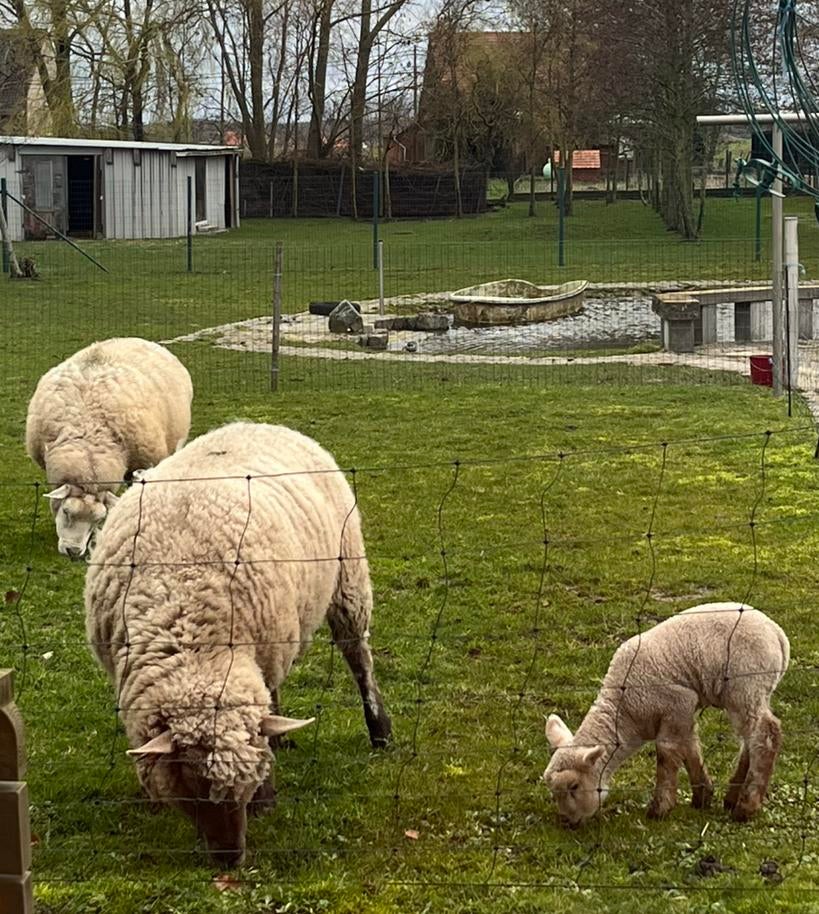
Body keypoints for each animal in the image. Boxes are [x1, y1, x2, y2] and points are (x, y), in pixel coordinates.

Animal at [84, 421, 392, 867]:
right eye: (190, 783)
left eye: (245, 785)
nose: (231, 859)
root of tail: (256, 422)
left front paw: (266, 796)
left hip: (347, 578)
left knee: (358, 657)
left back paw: (380, 730)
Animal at [543, 602, 789, 827]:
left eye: (574, 786)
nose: (567, 822)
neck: (625, 714)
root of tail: (777, 634)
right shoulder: (682, 714)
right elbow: (690, 748)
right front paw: (702, 796)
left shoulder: (676, 704)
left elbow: (666, 755)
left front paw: (660, 808)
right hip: (753, 692)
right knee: (750, 739)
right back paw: (732, 798)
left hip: (746, 685)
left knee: (766, 734)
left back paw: (745, 808)